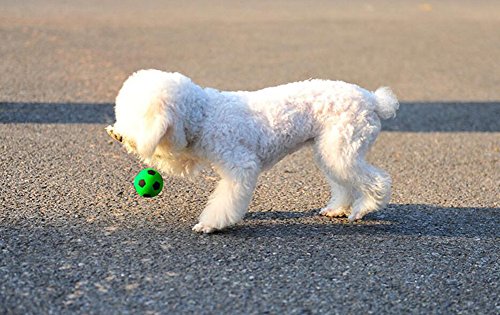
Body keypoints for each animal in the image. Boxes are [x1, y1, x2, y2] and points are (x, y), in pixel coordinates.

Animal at [105, 69, 398, 233]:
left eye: (133, 115)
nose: (118, 133)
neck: (205, 114)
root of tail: (373, 99)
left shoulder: (241, 165)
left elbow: (226, 200)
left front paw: (211, 224)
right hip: (329, 149)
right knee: (344, 181)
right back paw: (338, 208)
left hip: (342, 146)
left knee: (377, 180)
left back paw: (363, 209)